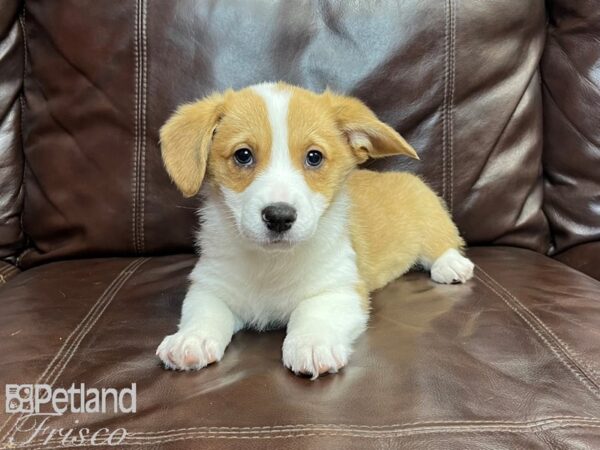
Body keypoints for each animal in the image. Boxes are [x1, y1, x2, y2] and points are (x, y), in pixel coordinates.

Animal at [156, 82, 474, 378]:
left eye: (314, 157)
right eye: (243, 155)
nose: (279, 217)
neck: (271, 263)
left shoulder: (339, 289)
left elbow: (313, 314)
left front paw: (311, 345)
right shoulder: (210, 286)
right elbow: (204, 313)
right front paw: (190, 340)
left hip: (430, 217)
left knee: (444, 243)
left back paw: (451, 265)